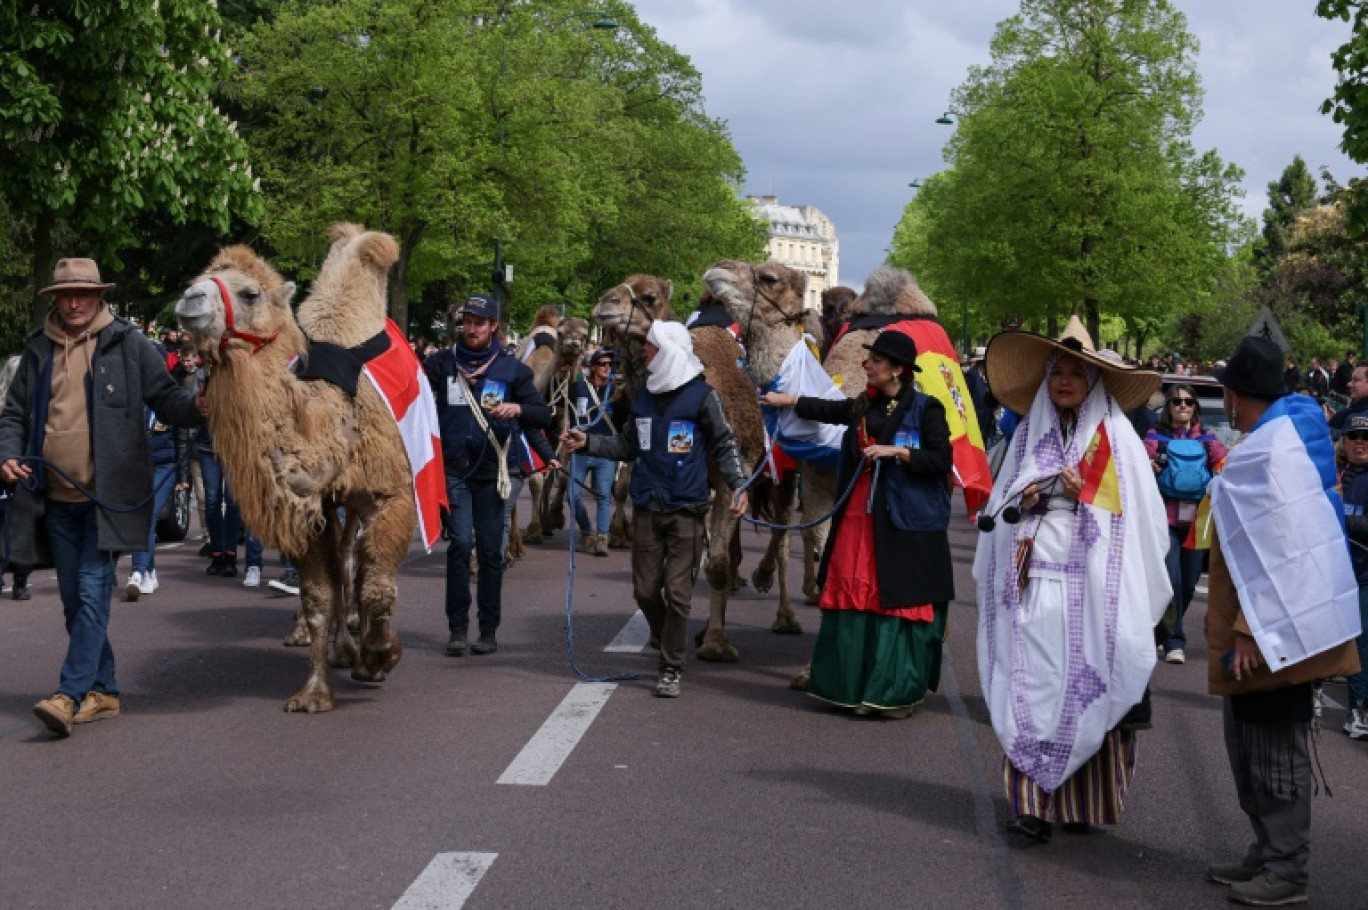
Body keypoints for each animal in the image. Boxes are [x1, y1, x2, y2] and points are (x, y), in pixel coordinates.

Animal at [175, 225, 415, 711]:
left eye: (250, 293)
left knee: (358, 563)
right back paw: (338, 643)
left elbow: (378, 585)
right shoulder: (310, 509)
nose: (189, 299)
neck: (332, 419)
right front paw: (314, 692)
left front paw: (380, 657)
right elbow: (319, 595)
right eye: (198, 278)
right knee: (344, 562)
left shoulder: (390, 493)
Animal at [590, 270, 798, 659]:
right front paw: (678, 634)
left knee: (783, 539)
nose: (605, 303)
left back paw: (784, 614)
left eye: (650, 297)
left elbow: (715, 563)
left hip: (784, 474)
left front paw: (716, 644)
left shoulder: (733, 477)